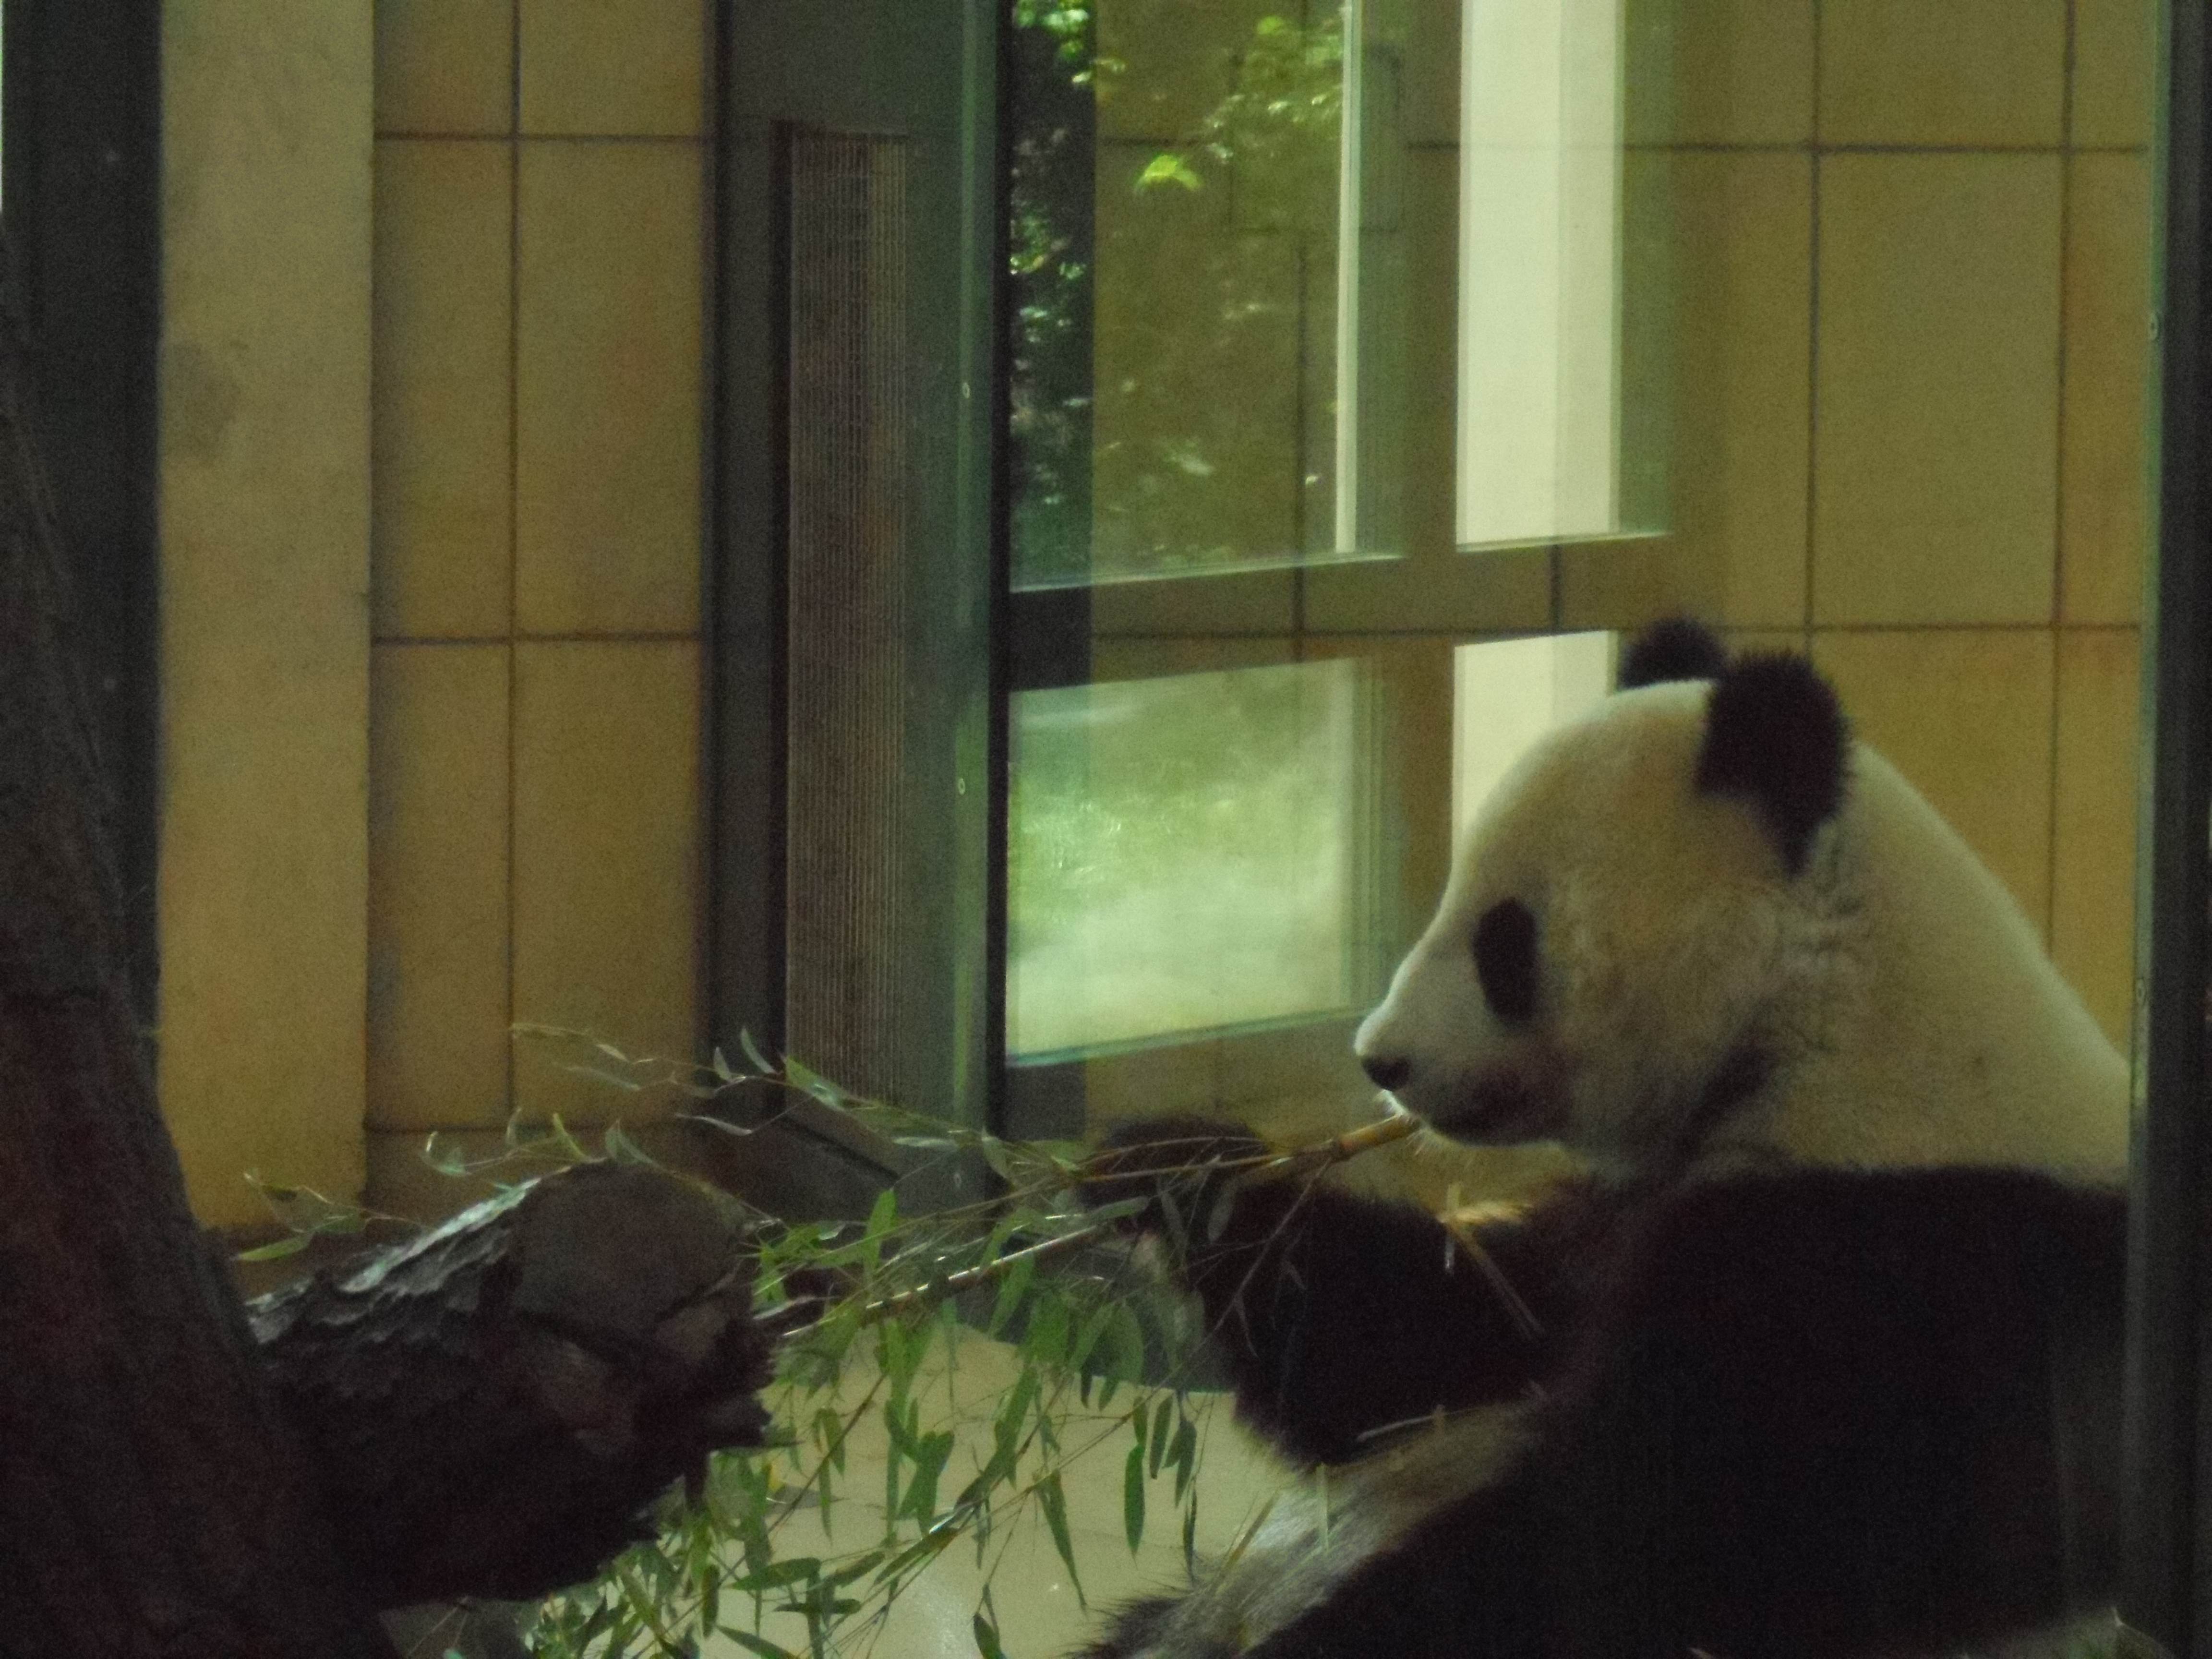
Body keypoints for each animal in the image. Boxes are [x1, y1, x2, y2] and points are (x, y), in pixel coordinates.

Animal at [1074, 620, 2132, 1659]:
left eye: (1505, 941)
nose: (1382, 1058)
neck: (1820, 1024)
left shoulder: (1894, 1251)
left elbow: (1649, 1542)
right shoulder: (1618, 1214)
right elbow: (1431, 1344)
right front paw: (1167, 1172)